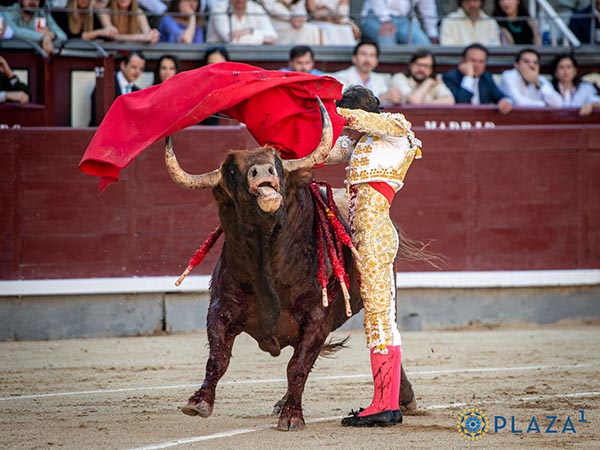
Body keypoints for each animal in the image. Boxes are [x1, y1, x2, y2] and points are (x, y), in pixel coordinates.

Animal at [166, 100, 414, 430]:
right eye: (232, 169)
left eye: (278, 163)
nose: (263, 171)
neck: (267, 260)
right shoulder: (221, 308)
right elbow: (218, 358)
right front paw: (199, 402)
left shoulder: (317, 317)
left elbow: (298, 365)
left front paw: (292, 416)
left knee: (383, 331)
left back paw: (398, 403)